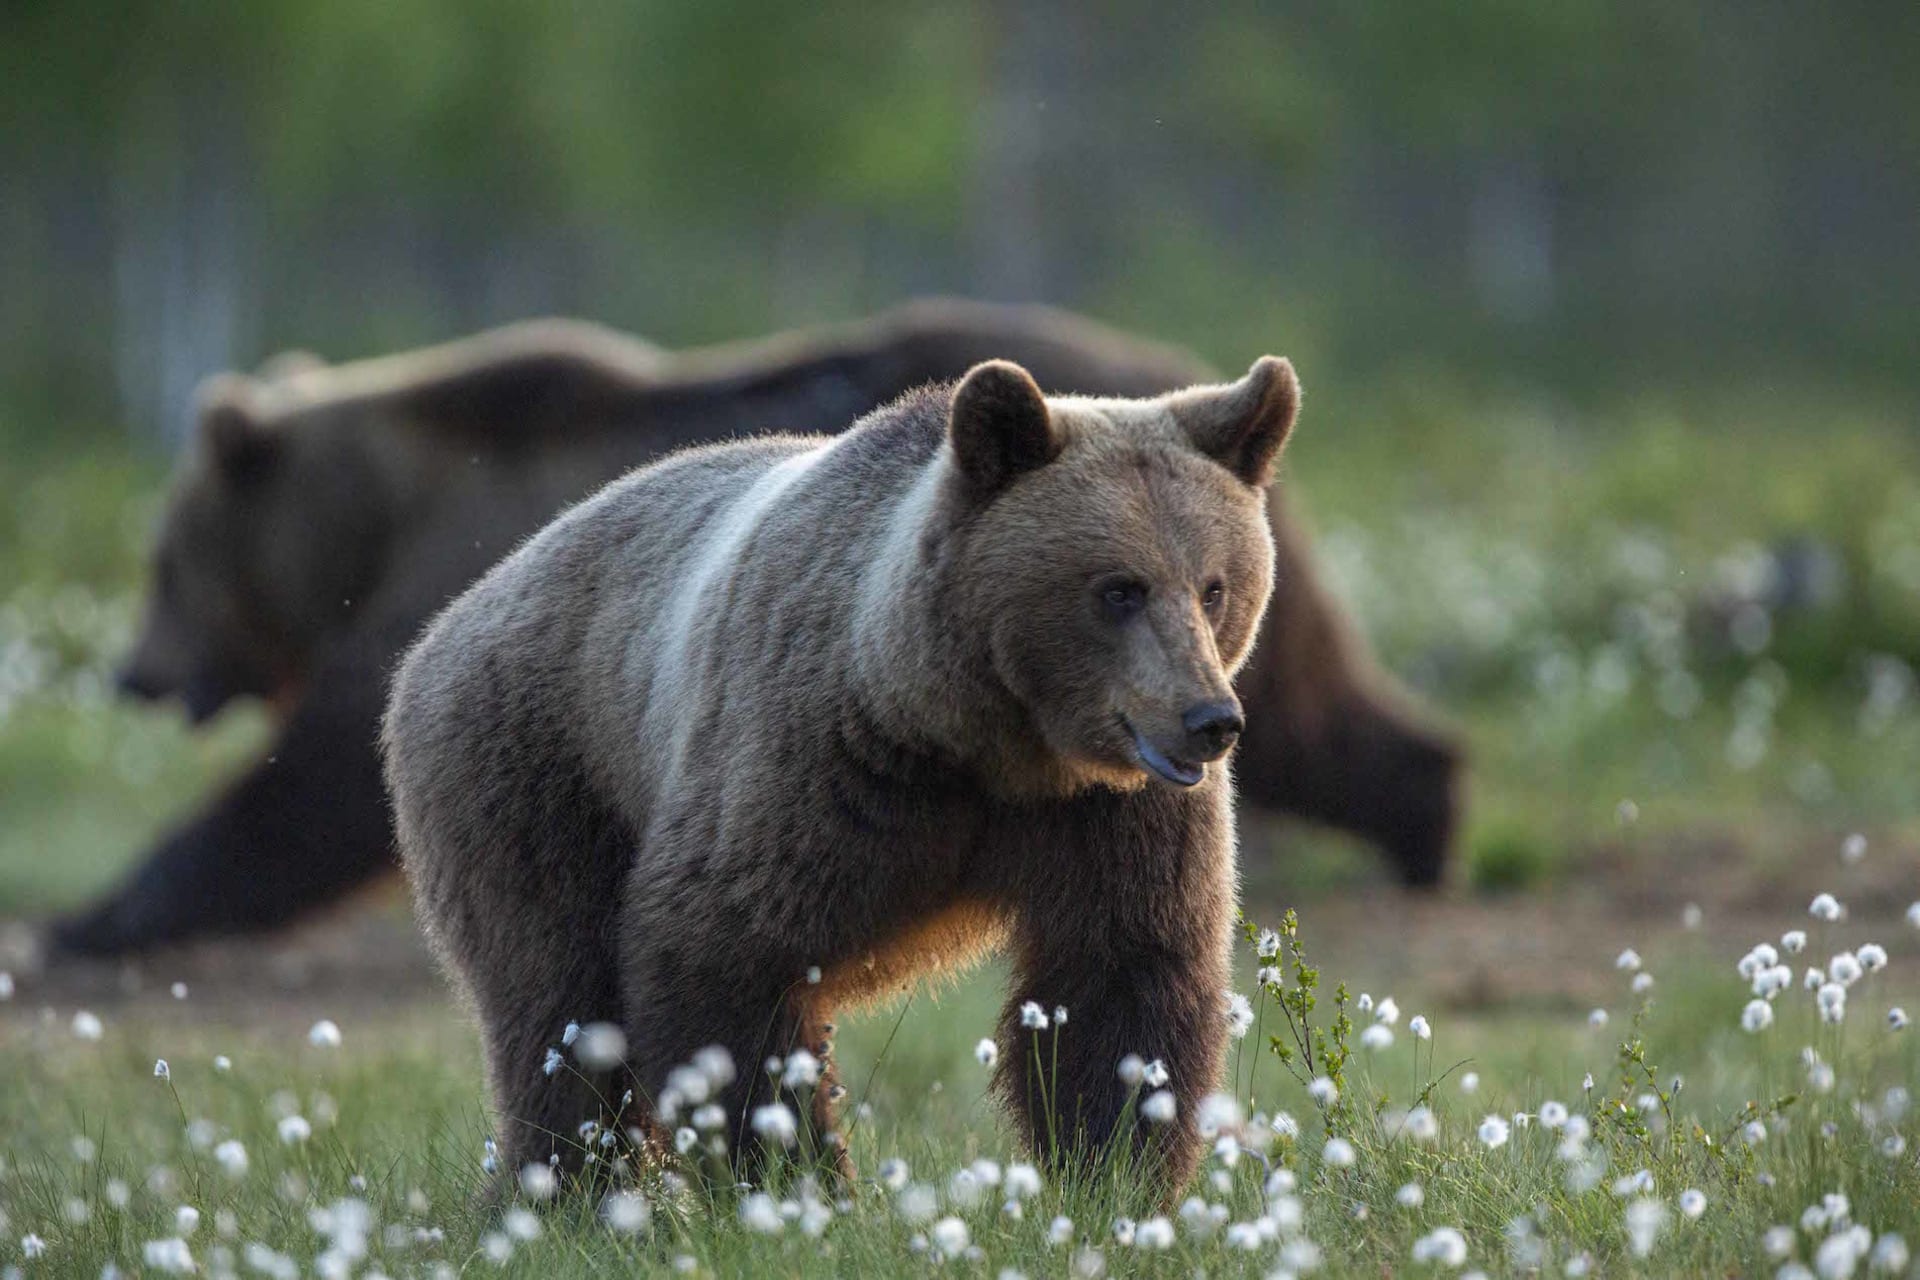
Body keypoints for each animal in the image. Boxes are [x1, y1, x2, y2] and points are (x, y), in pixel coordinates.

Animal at [60, 303, 1459, 959]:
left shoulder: (450, 586)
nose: (133, 672)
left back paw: (1427, 827)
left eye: (162, 556)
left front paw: (99, 912)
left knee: (1302, 719)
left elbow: (307, 791)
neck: (377, 515)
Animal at [380, 353, 1297, 1189]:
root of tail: (456, 615)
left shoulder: (1110, 815)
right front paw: (793, 1177)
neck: (977, 739)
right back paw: (566, 1190)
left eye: (1215, 586)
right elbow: (722, 957)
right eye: (1118, 589)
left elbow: (1124, 980)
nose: (1209, 721)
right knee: (559, 1005)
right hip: (534, 771)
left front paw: (1112, 1173)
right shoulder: (814, 768)